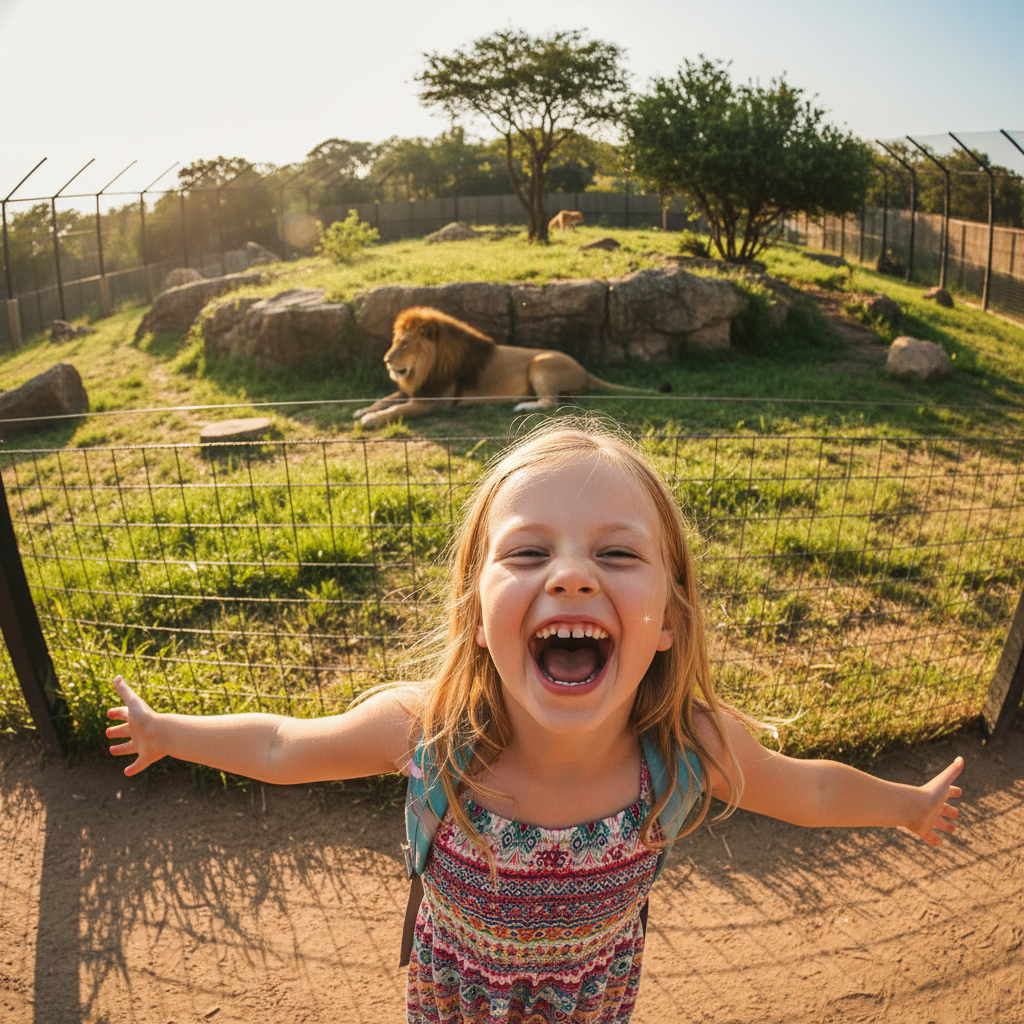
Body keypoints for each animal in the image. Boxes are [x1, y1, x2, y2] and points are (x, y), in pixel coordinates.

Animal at [352, 306, 634, 427]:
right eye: (395, 342)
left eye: (405, 344)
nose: (386, 360)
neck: (425, 368)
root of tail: (586, 371)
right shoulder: (416, 389)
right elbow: (385, 399)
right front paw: (363, 409)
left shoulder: (433, 400)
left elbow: (398, 409)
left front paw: (371, 418)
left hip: (539, 363)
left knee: (550, 402)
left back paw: (522, 405)